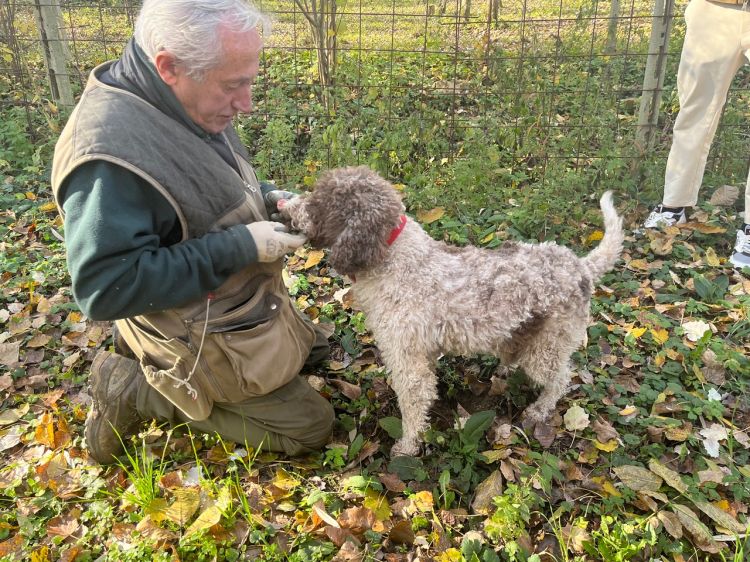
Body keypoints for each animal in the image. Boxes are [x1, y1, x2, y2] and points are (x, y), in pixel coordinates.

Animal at [280, 166, 624, 456]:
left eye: (319, 202)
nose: (282, 205)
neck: (395, 259)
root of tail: (582, 267)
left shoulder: (408, 362)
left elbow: (413, 406)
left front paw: (407, 447)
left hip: (548, 347)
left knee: (561, 378)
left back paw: (539, 410)